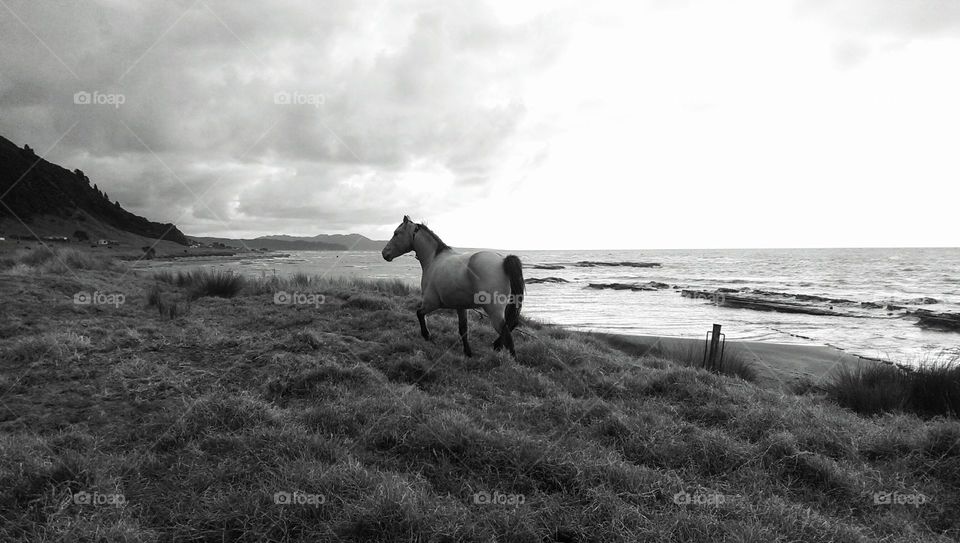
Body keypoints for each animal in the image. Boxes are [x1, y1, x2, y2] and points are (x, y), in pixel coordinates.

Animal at [381, 216, 524, 357]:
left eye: (396, 233)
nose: (384, 253)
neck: (434, 260)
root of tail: (503, 261)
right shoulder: (460, 307)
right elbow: (463, 330)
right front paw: (468, 352)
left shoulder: (432, 303)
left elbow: (419, 313)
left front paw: (426, 335)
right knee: (511, 326)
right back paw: (497, 345)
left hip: (494, 311)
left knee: (507, 335)